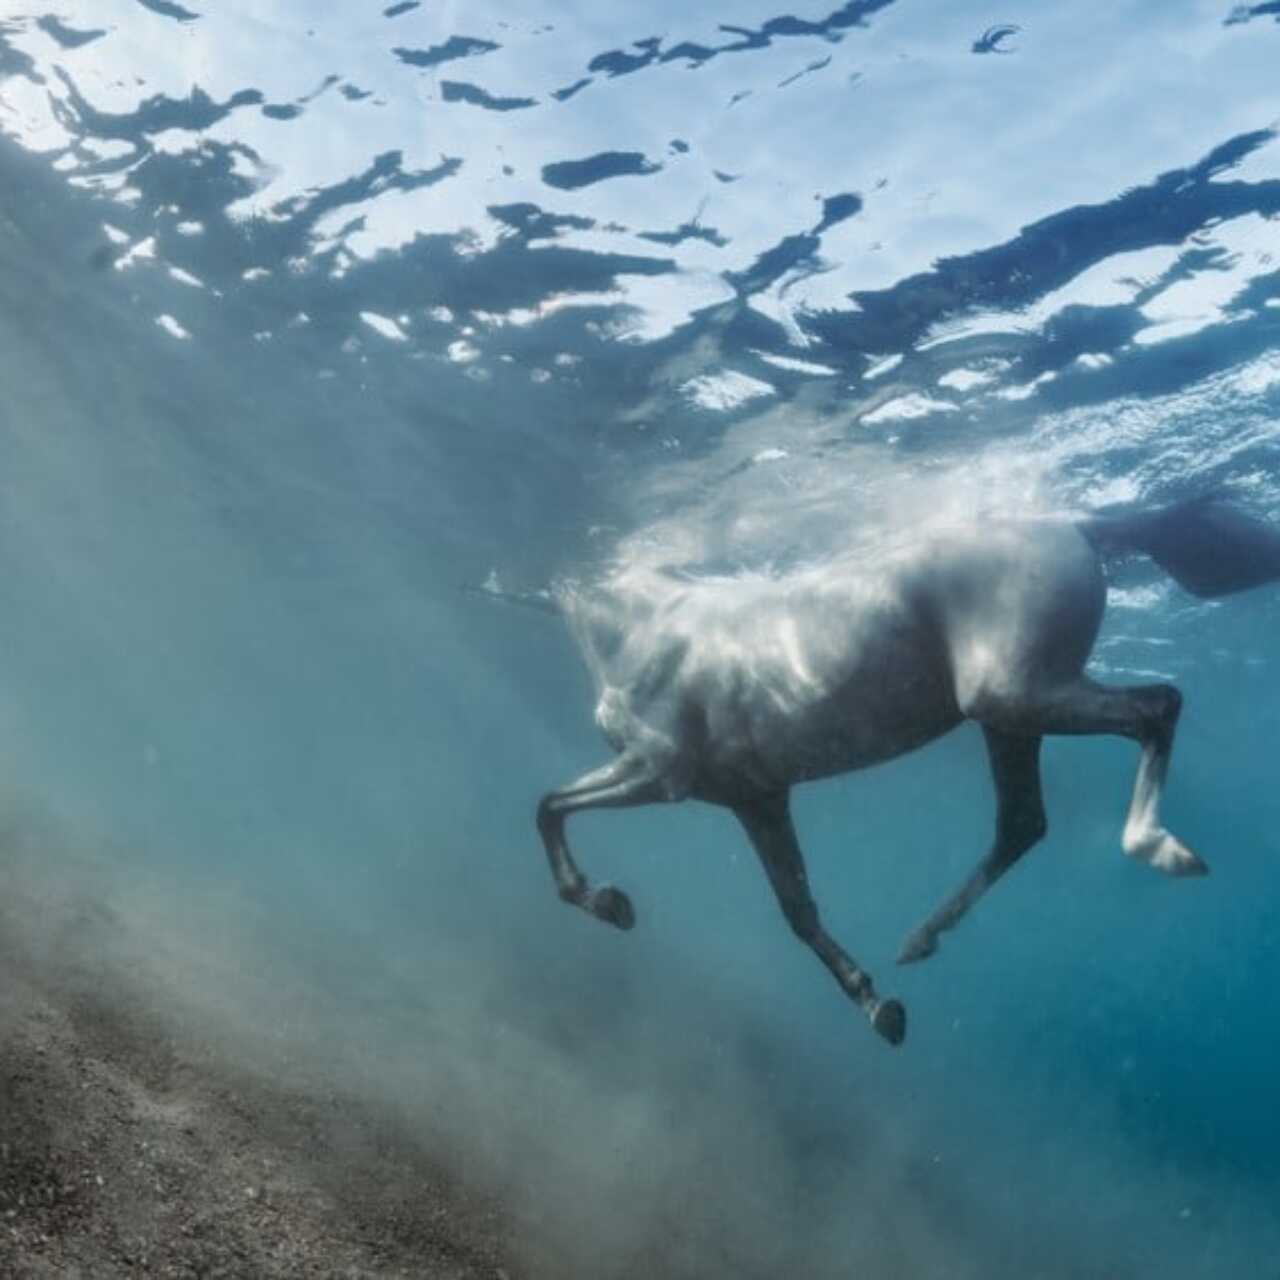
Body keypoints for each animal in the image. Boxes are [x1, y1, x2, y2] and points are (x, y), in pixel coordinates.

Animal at [529, 494, 1280, 1044]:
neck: (643, 627)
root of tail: (1079, 526)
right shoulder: (757, 797)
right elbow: (798, 911)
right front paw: (877, 1005)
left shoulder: (659, 773)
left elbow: (547, 805)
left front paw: (605, 901)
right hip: (1011, 718)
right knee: (1023, 823)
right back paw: (919, 938)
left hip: (1014, 695)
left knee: (1156, 708)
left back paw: (1160, 847)